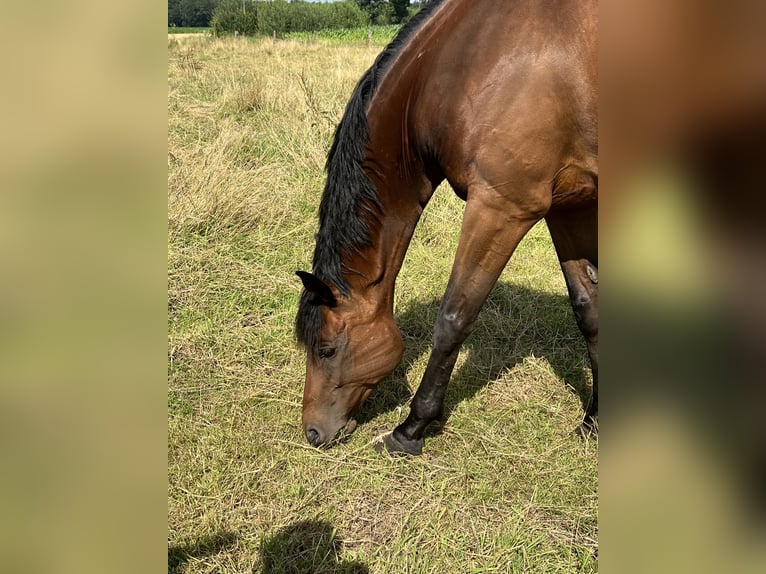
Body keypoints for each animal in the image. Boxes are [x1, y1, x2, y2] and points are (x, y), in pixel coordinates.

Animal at [294, 0, 600, 456]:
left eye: (327, 350)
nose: (313, 432)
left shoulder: (501, 206)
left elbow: (453, 317)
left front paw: (410, 429)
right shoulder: (568, 206)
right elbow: (589, 310)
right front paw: (594, 420)